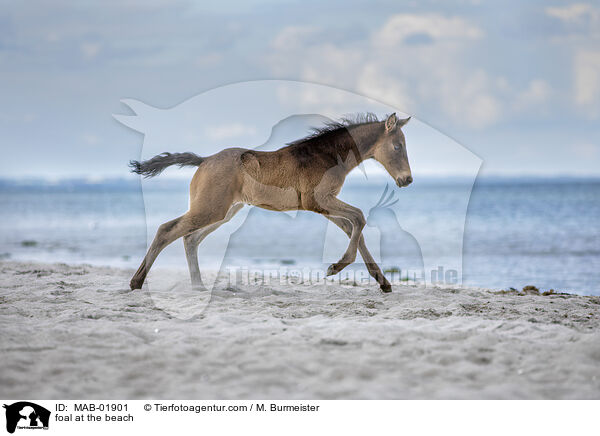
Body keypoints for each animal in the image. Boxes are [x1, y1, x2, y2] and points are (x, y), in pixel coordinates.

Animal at [130, 113, 412, 292]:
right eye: (397, 147)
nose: (407, 179)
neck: (326, 156)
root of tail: (205, 159)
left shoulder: (324, 206)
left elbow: (354, 228)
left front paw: (383, 283)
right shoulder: (318, 201)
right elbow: (359, 218)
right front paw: (335, 267)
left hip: (224, 212)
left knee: (189, 238)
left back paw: (198, 286)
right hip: (210, 209)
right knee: (166, 230)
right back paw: (136, 282)